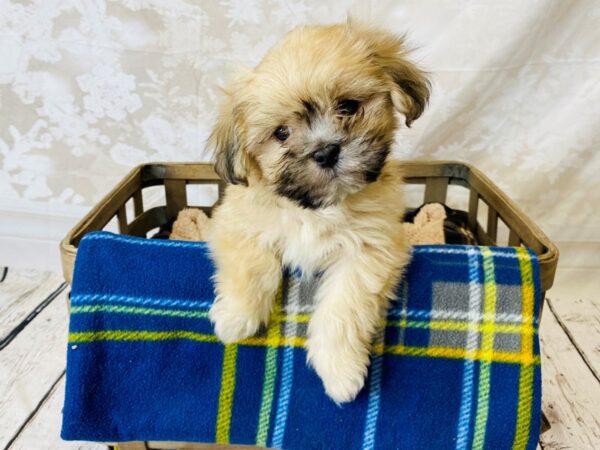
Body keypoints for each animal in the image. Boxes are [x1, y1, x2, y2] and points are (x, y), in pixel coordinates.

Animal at [209, 21, 428, 402]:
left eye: (348, 107)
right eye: (281, 133)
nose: (326, 151)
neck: (315, 208)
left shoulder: (371, 250)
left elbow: (344, 308)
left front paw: (340, 371)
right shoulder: (235, 223)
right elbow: (253, 267)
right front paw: (236, 319)